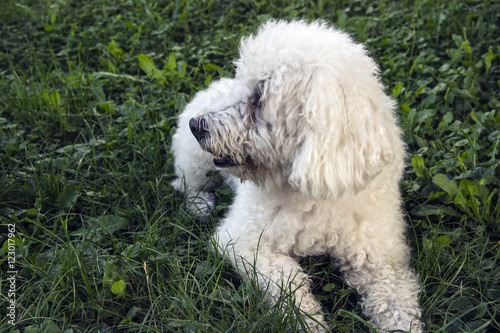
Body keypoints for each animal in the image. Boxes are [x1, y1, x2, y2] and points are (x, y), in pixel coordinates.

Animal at [171, 19, 422, 330]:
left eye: (258, 98)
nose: (197, 125)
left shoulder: (381, 254)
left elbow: (395, 299)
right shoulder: (244, 241)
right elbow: (288, 283)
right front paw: (306, 321)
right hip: (194, 161)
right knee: (188, 183)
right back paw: (200, 204)